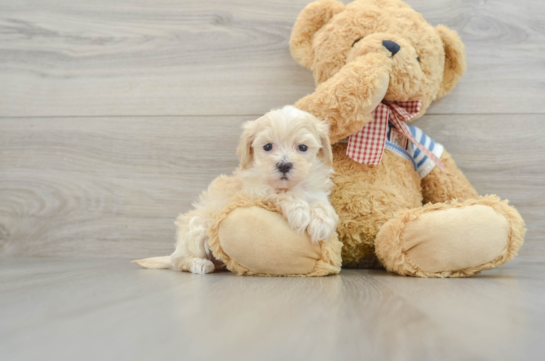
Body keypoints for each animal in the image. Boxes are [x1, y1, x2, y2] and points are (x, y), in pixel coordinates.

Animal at [134, 105, 338, 274]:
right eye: (268, 146)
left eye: (302, 147)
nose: (284, 165)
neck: (293, 185)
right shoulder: (256, 191)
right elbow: (282, 194)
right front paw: (300, 212)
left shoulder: (315, 191)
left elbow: (321, 204)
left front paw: (322, 222)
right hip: (196, 228)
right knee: (180, 261)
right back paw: (199, 264)